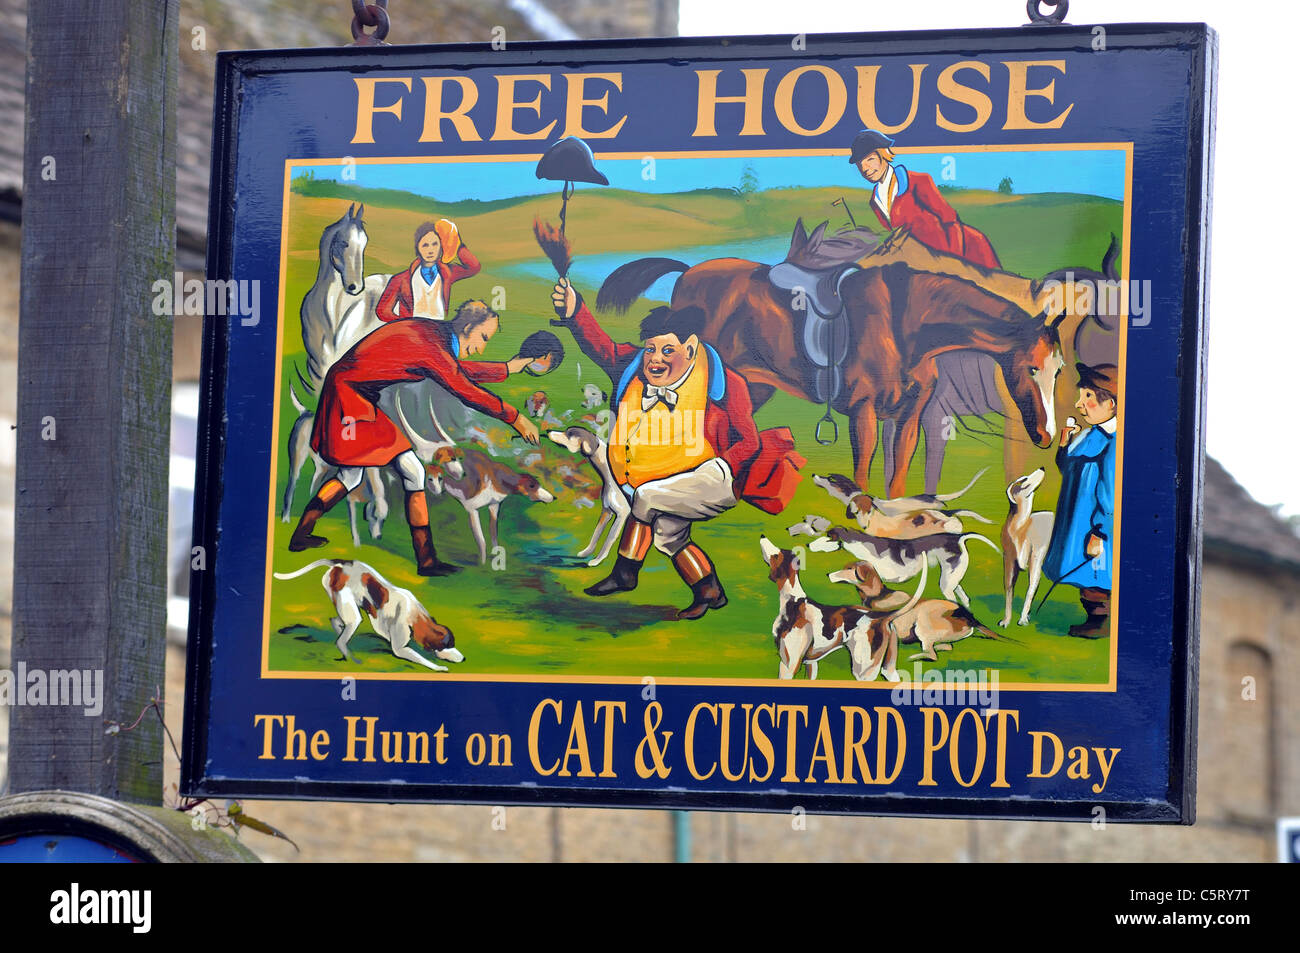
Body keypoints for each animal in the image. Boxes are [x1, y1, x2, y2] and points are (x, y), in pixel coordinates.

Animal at [598, 249, 1066, 494]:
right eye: (1031, 368)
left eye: (1059, 371)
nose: (1047, 435)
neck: (905, 324)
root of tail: (688, 273)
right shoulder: (864, 414)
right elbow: (861, 478)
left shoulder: (908, 418)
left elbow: (896, 482)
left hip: (752, 387)